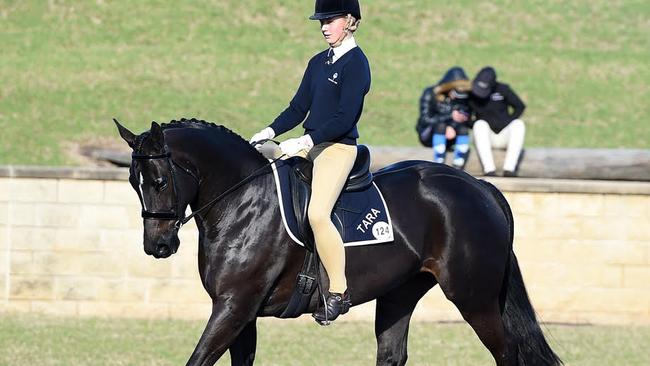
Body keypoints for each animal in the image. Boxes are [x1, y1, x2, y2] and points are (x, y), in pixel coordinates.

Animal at [114, 118, 560, 364]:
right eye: (134, 183)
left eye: (159, 181)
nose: (158, 246)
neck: (242, 201)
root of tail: (479, 185)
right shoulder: (241, 312)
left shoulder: (234, 307)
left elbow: (197, 359)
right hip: (401, 294)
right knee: (391, 354)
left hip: (474, 298)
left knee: (506, 353)